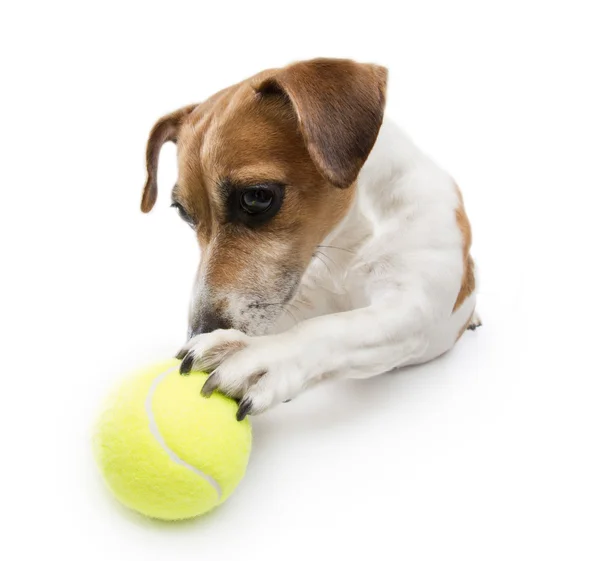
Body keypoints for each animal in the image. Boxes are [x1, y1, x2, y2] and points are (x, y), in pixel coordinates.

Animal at [141, 60, 478, 420]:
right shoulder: (296, 298)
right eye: (183, 213)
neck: (348, 237)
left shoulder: (413, 304)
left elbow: (333, 327)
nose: (200, 331)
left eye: (256, 198)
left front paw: (258, 354)